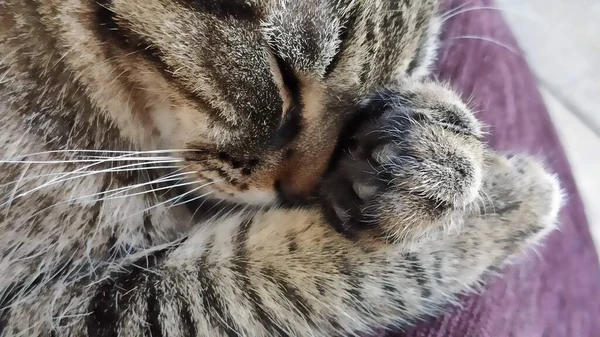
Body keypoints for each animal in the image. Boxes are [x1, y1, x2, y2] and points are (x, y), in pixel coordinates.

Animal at [0, 0, 564, 336]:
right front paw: (498, 194)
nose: (301, 190)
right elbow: (262, 277)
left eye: (396, 78)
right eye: (283, 76)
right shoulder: (55, 311)